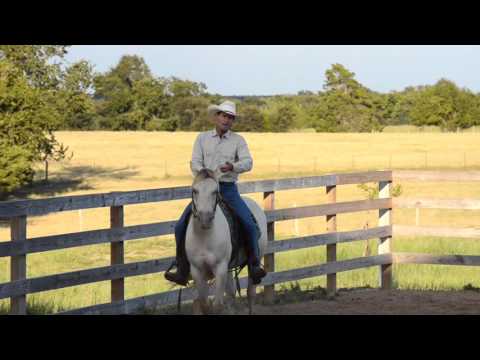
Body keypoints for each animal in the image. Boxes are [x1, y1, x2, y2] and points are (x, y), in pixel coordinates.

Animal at [186, 167, 268, 314]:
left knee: (250, 293)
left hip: (254, 261)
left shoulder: (220, 268)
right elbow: (204, 304)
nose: (205, 219)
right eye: (194, 190)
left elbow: (218, 305)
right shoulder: (197, 270)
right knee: (231, 294)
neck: (204, 237)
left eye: (215, 191)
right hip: (229, 267)